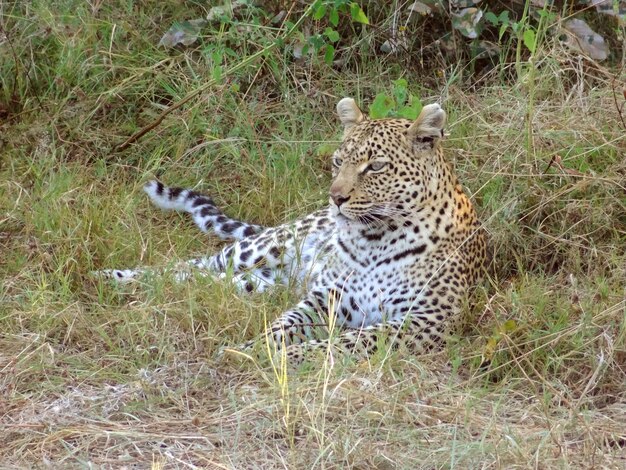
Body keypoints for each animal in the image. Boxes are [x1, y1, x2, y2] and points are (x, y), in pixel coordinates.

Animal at [97, 97, 488, 366]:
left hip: (261, 282)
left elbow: (350, 341)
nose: (336, 198)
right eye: (338, 161)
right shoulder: (326, 297)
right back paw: (112, 278)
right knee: (189, 267)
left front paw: (291, 357)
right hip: (262, 248)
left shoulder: (426, 321)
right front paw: (257, 349)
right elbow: (283, 325)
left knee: (209, 282)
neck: (374, 241)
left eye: (375, 167)